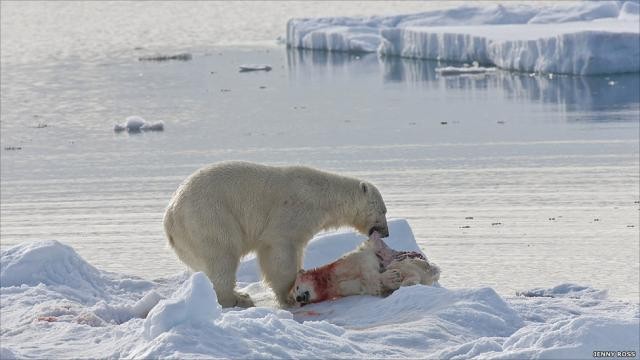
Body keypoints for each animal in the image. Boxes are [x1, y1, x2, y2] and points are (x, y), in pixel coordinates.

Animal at [162, 162, 388, 308]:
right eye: (383, 211)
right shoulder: (291, 213)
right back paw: (237, 298)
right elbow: (280, 252)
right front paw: (288, 295)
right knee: (222, 257)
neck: (323, 196)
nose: (386, 232)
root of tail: (171, 216)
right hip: (210, 218)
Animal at [292, 232, 438, 306]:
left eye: (297, 287)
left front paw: (390, 276)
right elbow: (370, 285)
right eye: (294, 295)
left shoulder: (349, 262)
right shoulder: (344, 288)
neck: (329, 280)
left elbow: (367, 266)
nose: (298, 298)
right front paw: (391, 278)